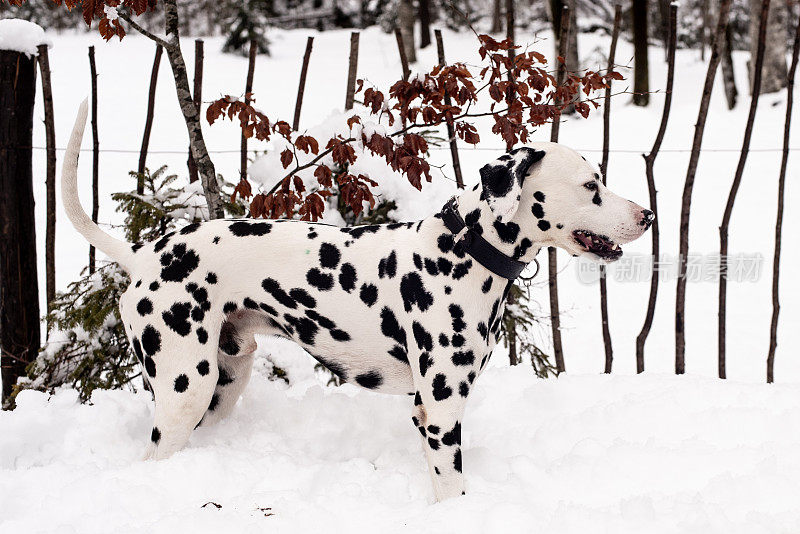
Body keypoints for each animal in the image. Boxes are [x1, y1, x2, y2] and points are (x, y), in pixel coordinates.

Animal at [61, 99, 648, 502]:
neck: (464, 250)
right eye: (591, 185)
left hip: (222, 385)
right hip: (185, 388)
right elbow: (451, 488)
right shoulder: (440, 412)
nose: (648, 214)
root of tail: (143, 255)